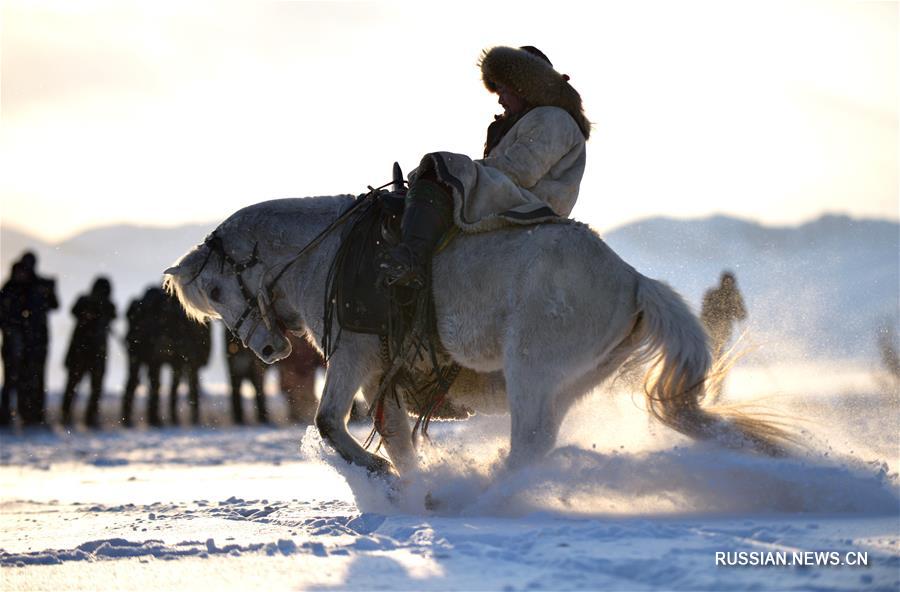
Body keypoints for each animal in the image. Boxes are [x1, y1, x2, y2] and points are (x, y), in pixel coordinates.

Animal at [163, 197, 788, 478]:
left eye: (215, 289)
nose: (269, 350)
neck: (331, 255)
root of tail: (633, 281)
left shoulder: (352, 355)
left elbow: (328, 422)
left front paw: (377, 473)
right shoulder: (380, 374)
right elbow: (395, 436)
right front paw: (408, 487)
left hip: (531, 372)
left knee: (529, 444)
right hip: (566, 382)